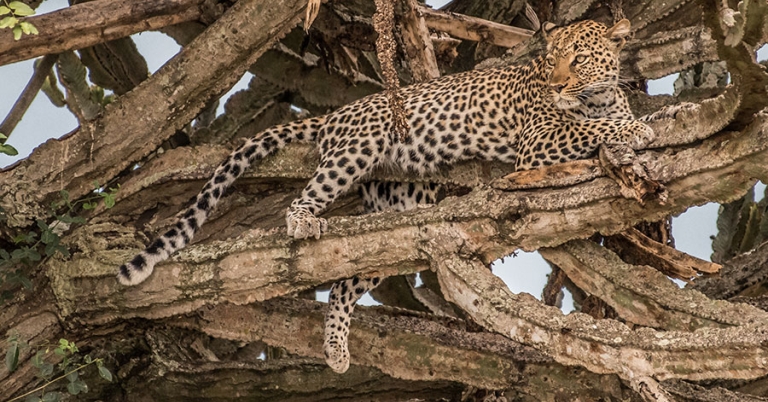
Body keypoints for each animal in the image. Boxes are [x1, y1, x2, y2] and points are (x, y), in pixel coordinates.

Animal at [116, 18, 654, 371]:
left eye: (577, 59)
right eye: (550, 60)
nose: (559, 84)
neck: (598, 93)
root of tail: (334, 115)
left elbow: (599, 122)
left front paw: (632, 122)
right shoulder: (538, 138)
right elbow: (591, 127)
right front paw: (640, 127)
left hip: (393, 224)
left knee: (342, 283)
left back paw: (335, 351)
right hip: (358, 148)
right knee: (305, 198)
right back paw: (303, 221)